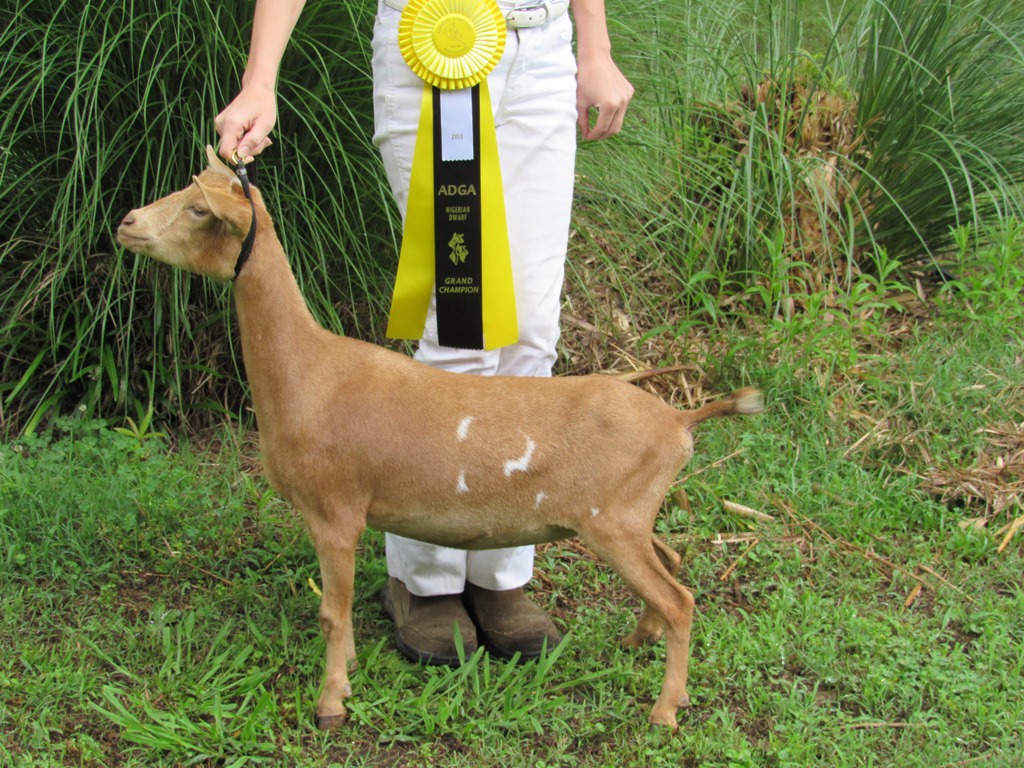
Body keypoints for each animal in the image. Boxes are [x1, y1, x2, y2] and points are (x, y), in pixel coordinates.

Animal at [116, 145, 765, 733]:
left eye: (199, 208)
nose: (126, 222)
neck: (309, 374)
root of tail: (679, 422)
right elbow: (341, 613)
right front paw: (350, 671)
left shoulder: (334, 509)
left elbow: (331, 612)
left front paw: (330, 704)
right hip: (632, 513)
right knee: (672, 563)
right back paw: (638, 642)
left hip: (614, 519)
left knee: (680, 599)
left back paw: (665, 710)